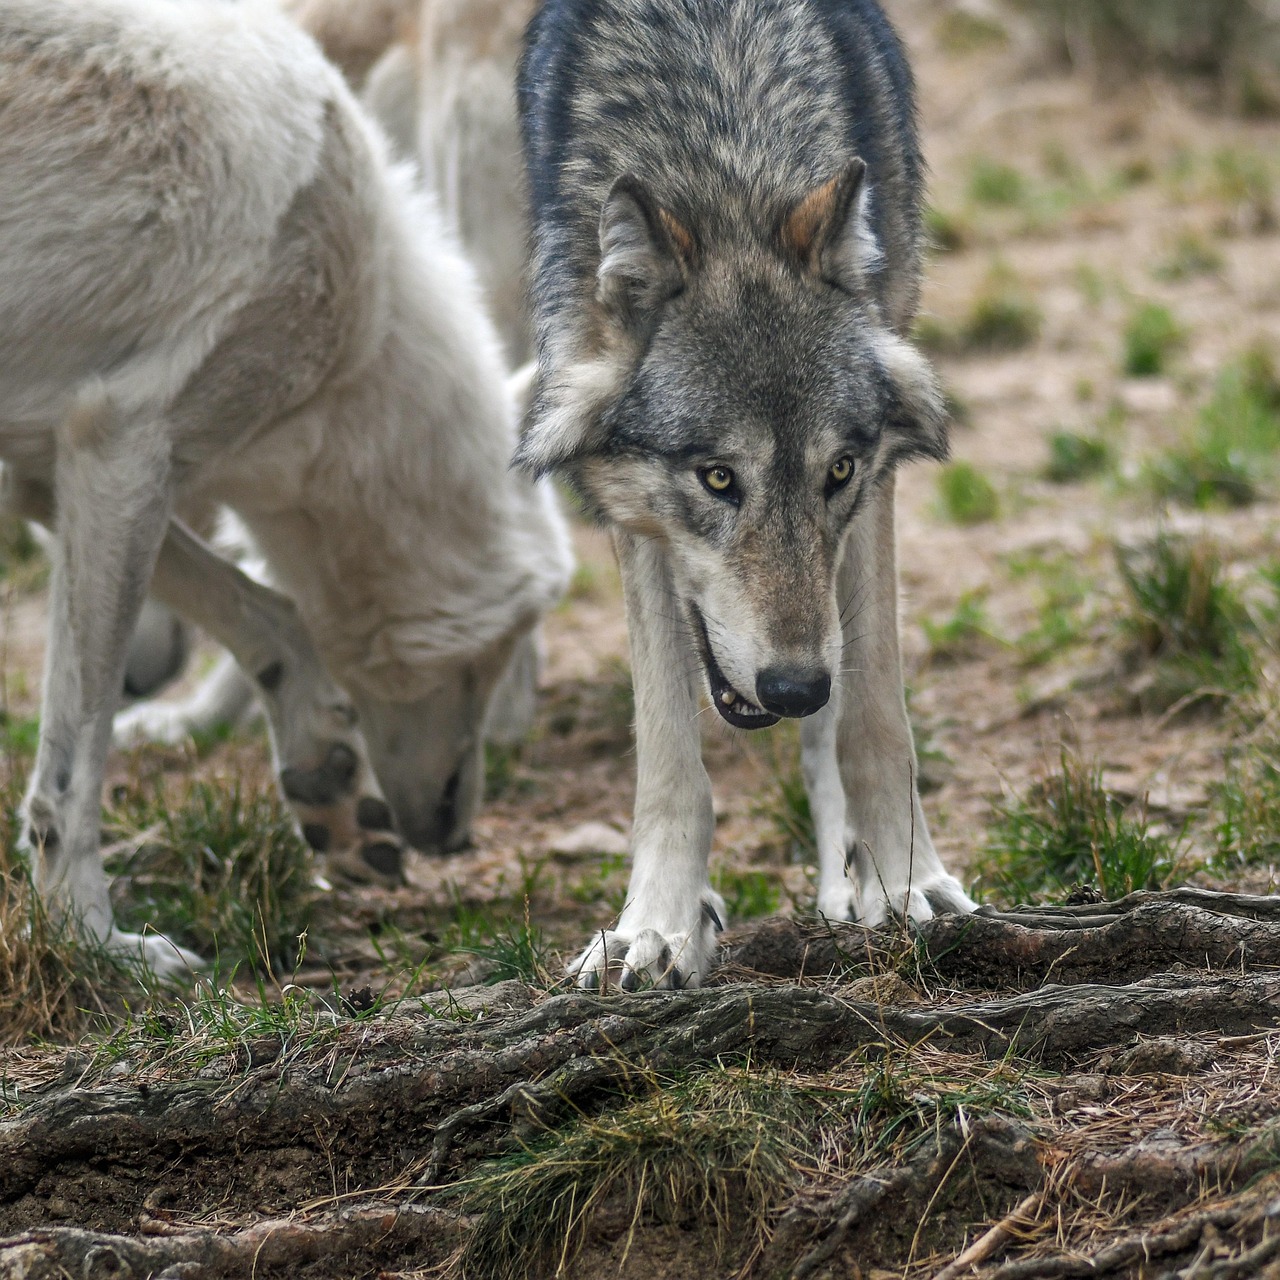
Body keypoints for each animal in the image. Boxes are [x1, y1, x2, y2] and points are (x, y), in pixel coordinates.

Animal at [0, 0, 570, 973]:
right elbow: (72, 772)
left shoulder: (59, 471)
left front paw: (329, 787)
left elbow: (272, 615)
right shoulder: (123, 454)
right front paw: (94, 942)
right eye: (498, 647)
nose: (457, 837)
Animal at [519, 0, 976, 988]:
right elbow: (668, 758)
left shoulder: (877, 484)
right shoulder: (635, 518)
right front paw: (658, 925)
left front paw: (904, 878)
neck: (724, 153)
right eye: (718, 477)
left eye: (836, 471)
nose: (794, 685)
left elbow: (873, 720)